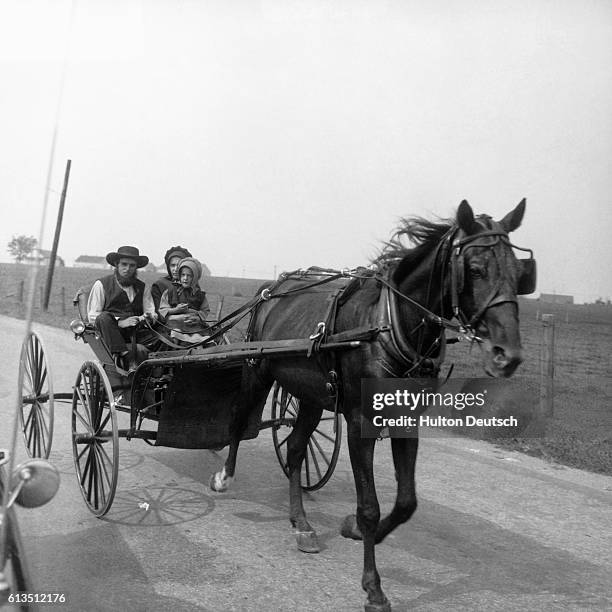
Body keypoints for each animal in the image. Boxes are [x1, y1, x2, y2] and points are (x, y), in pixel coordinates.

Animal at [209, 201, 532, 612]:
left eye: (519, 274)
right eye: (475, 269)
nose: (508, 356)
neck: (389, 326)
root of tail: (273, 289)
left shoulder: (406, 420)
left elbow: (406, 502)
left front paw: (360, 532)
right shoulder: (361, 421)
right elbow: (370, 506)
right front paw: (373, 586)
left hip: (311, 395)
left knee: (296, 448)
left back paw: (302, 524)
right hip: (258, 369)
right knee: (238, 420)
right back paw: (225, 476)